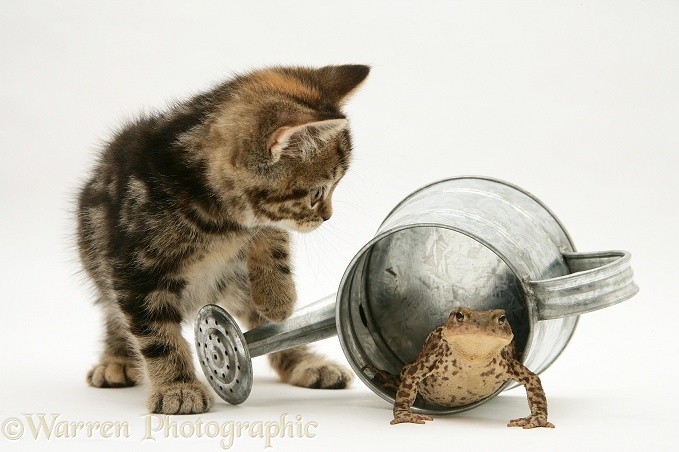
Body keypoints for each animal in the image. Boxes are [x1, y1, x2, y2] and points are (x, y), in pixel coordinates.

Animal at [78, 65, 372, 414]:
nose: (327, 216)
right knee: (114, 314)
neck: (218, 220)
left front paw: (278, 296)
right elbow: (157, 336)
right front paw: (178, 387)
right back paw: (116, 359)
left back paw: (307, 362)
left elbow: (272, 234)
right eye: (317, 193)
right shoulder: (134, 268)